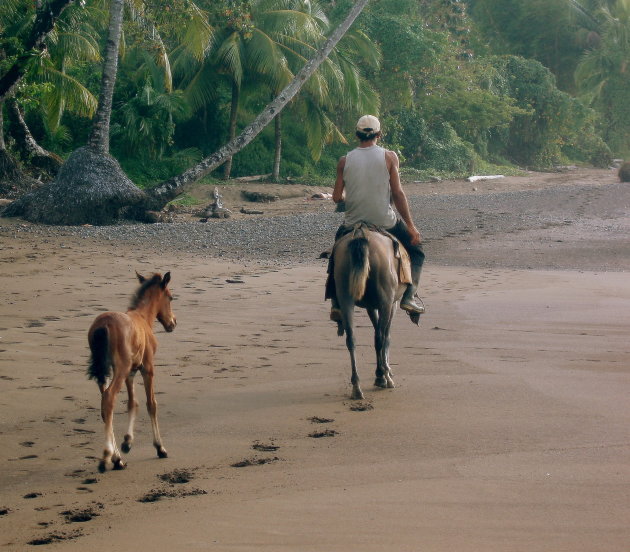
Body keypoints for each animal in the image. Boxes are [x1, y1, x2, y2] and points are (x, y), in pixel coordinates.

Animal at [87, 270, 177, 472]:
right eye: (170, 297)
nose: (173, 323)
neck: (143, 318)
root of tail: (103, 326)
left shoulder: (131, 372)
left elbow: (132, 403)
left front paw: (127, 442)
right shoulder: (148, 368)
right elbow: (151, 404)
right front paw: (160, 447)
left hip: (106, 372)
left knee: (105, 406)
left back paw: (117, 459)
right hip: (119, 369)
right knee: (109, 398)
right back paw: (106, 457)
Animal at [334, 226, 408, 398]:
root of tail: (361, 233)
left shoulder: (371, 306)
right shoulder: (390, 304)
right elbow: (386, 336)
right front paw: (385, 372)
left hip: (345, 296)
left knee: (351, 338)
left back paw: (357, 387)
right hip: (386, 300)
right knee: (380, 337)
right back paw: (384, 378)